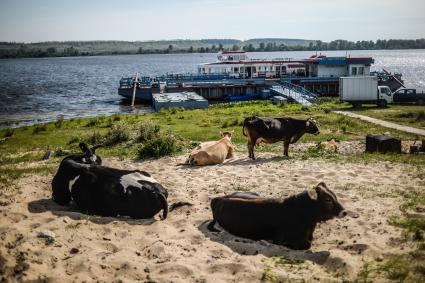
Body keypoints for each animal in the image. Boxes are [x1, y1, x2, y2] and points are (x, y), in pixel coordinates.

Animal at [207, 183, 346, 250]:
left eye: (334, 195)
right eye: (327, 199)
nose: (344, 212)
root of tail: (219, 199)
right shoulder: (281, 239)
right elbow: (306, 244)